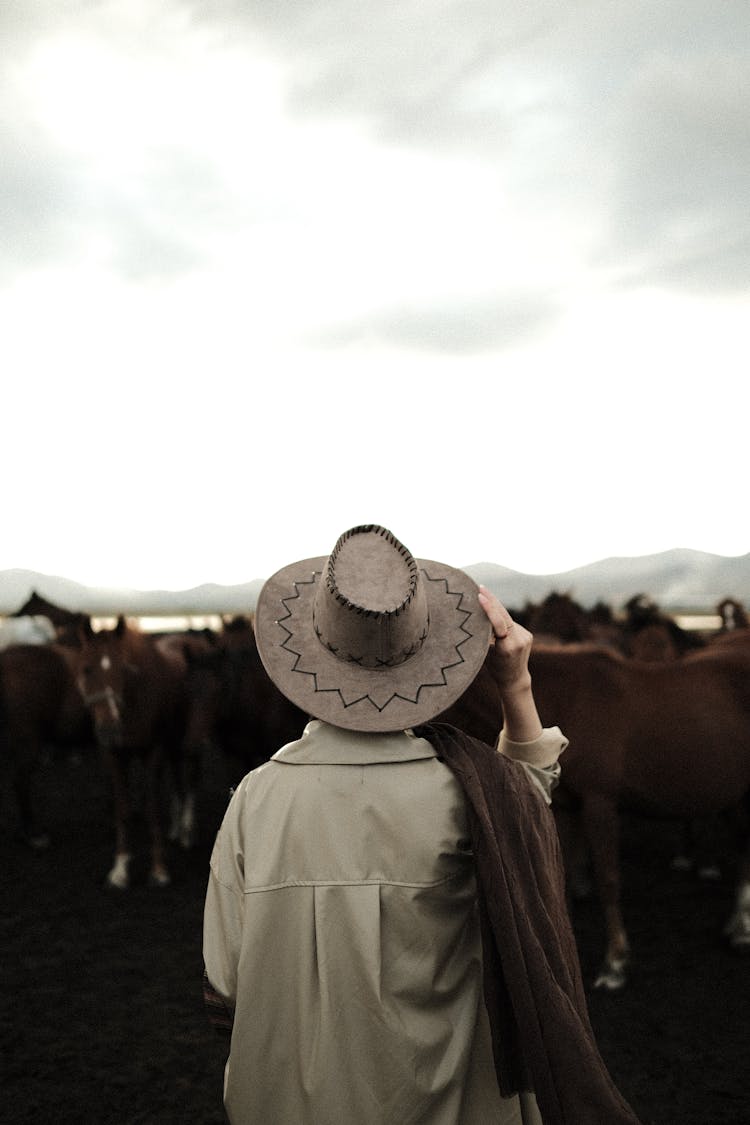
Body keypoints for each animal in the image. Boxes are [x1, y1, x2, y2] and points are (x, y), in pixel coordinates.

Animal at [72, 616, 196, 886]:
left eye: (123, 670)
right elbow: (123, 810)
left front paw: (159, 870)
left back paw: (186, 831)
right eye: (86, 669)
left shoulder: (153, 751)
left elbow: (152, 809)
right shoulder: (115, 756)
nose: (109, 728)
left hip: (183, 740)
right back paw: (176, 828)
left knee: (186, 778)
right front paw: (119, 869)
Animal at [436, 639, 750, 990]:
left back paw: (742, 928)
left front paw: (615, 962)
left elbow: (607, 880)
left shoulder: (600, 804)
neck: (567, 698)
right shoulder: (564, 807)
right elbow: (562, 879)